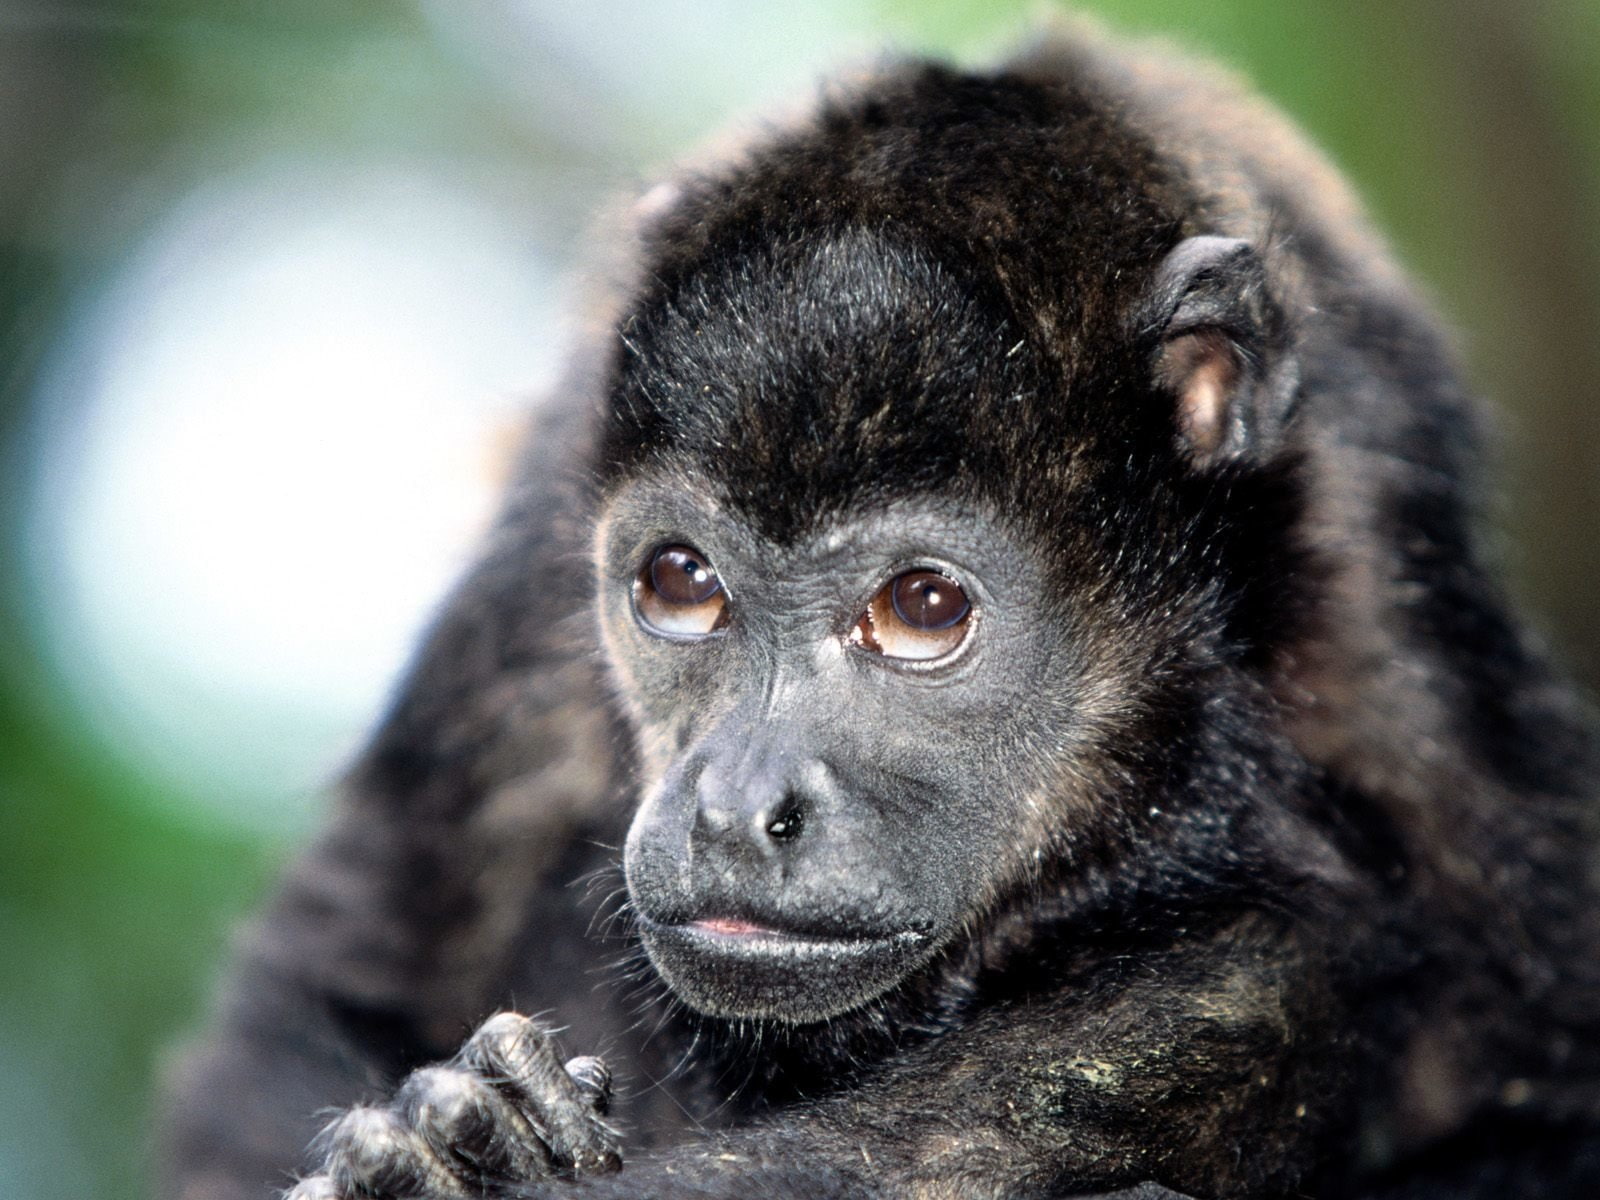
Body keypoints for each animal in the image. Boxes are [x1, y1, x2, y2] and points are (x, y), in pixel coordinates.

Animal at [158, 23, 1600, 1200]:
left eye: (921, 608)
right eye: (679, 583)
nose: (735, 806)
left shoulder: (1378, 572)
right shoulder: (542, 541)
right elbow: (338, 991)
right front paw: (439, 1141)